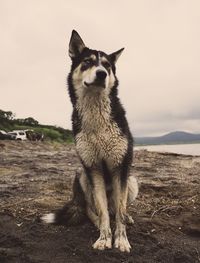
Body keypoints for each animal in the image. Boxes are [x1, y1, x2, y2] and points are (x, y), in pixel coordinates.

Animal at [41, 29, 139, 253]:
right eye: (87, 62)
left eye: (107, 66)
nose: (102, 74)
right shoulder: (93, 167)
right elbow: (102, 212)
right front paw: (104, 238)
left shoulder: (120, 166)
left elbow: (120, 212)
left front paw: (121, 240)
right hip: (82, 176)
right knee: (91, 210)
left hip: (131, 181)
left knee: (117, 209)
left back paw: (126, 217)